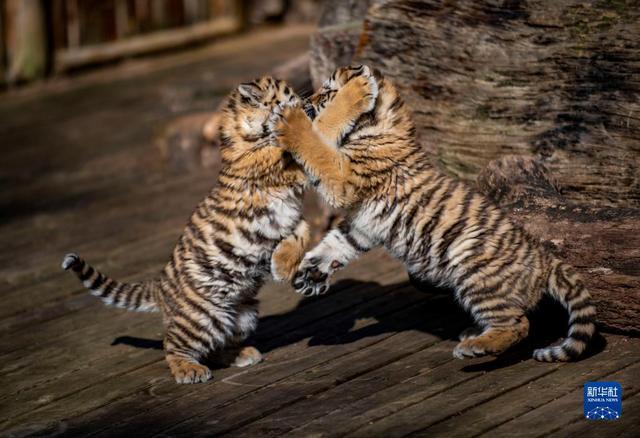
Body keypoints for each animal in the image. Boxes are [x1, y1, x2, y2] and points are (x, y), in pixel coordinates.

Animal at [62, 77, 310, 384]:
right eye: (288, 97)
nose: (306, 102)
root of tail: (159, 288)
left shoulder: (289, 217)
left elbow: (303, 230)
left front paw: (282, 266)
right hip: (202, 317)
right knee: (173, 345)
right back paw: (189, 370)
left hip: (244, 313)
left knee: (216, 347)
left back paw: (243, 354)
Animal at [269, 65, 596, 362]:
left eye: (326, 91)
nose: (305, 102)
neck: (383, 128)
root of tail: (544, 259)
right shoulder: (361, 226)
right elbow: (336, 243)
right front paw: (306, 271)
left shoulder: (343, 179)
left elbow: (316, 147)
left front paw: (291, 120)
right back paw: (473, 334)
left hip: (476, 273)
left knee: (518, 323)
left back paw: (475, 347)